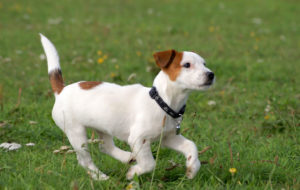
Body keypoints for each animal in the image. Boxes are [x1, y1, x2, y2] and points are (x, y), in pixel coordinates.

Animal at [40, 33, 213, 180]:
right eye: (187, 65)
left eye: (204, 64)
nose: (211, 74)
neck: (162, 101)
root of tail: (61, 90)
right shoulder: (138, 138)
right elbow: (149, 163)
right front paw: (133, 173)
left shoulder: (169, 137)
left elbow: (191, 146)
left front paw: (192, 168)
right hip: (76, 133)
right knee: (85, 160)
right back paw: (101, 177)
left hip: (103, 126)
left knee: (105, 147)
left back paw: (127, 157)